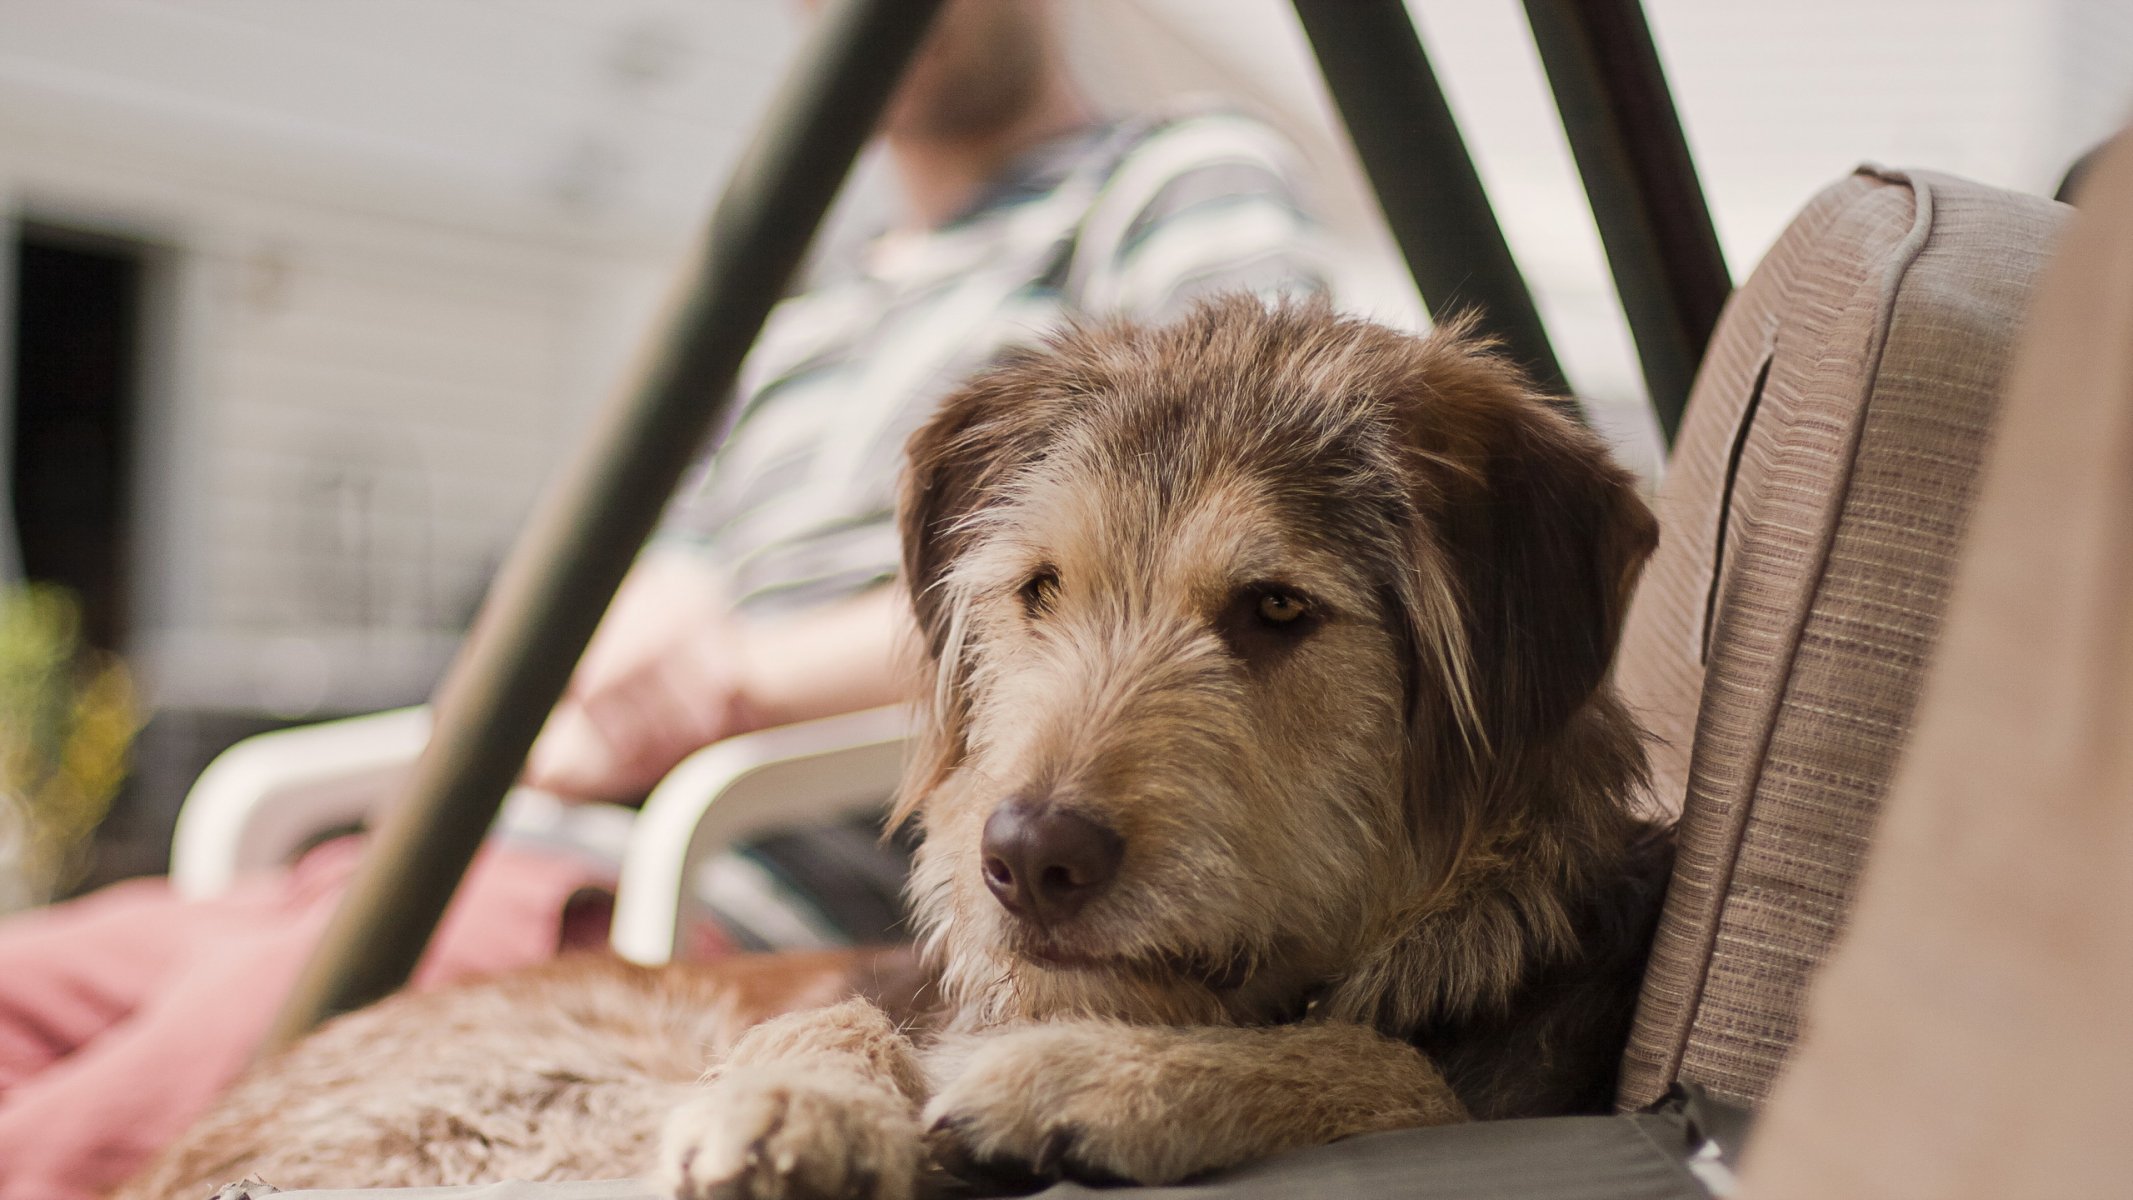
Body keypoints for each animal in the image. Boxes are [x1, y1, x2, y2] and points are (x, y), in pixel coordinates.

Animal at [124, 300, 1672, 1200]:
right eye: (1039, 589)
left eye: (1279, 609)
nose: (1027, 858)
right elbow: (841, 1018)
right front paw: (796, 1100)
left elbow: (1401, 1074)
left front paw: (1101, 1083)